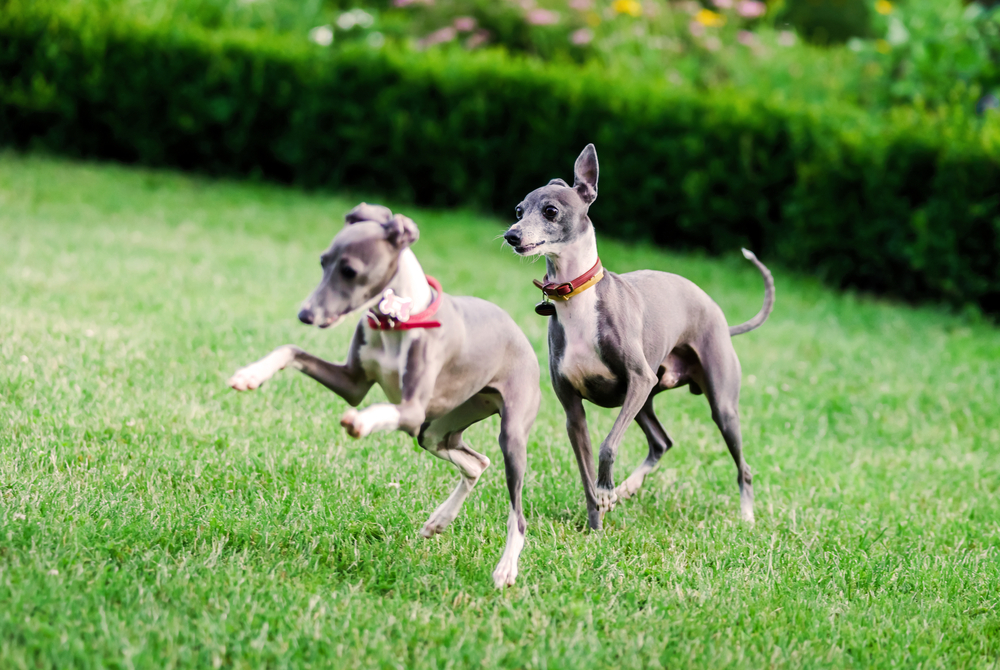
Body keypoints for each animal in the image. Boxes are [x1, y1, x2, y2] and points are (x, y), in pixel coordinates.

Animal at [229, 205, 540, 588]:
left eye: (350, 270)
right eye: (323, 262)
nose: (306, 314)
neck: (400, 320)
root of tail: (520, 332)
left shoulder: (411, 408)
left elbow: (378, 409)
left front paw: (360, 422)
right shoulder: (353, 383)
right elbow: (290, 349)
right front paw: (250, 375)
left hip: (510, 433)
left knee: (517, 512)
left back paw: (506, 567)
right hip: (436, 429)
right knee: (476, 463)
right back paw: (439, 520)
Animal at [504, 144, 776, 532]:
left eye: (550, 210)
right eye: (518, 210)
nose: (511, 235)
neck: (577, 298)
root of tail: (721, 320)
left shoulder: (637, 378)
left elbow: (608, 446)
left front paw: (606, 490)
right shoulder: (573, 411)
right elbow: (585, 472)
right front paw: (596, 525)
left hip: (713, 403)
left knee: (743, 466)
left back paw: (746, 516)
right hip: (647, 397)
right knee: (661, 442)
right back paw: (627, 489)